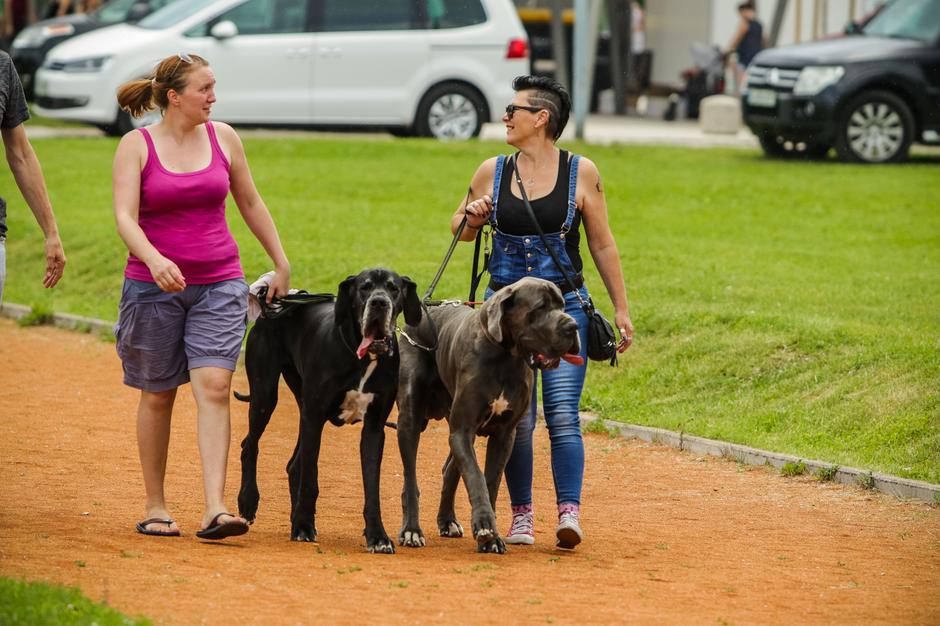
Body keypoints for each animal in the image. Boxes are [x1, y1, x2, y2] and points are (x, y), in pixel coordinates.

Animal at [237, 266, 420, 552]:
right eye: (365, 287)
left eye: (394, 288)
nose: (379, 303)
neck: (363, 356)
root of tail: (280, 300)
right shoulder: (314, 416)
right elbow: (311, 478)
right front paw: (303, 527)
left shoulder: (374, 428)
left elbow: (372, 487)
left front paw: (377, 536)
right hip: (265, 395)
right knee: (250, 445)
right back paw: (248, 502)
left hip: (300, 403)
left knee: (293, 465)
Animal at [394, 276, 580, 548]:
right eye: (540, 307)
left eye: (563, 305)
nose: (573, 326)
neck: (506, 357)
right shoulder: (463, 429)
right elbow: (475, 476)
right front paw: (484, 526)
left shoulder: (503, 435)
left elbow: (491, 480)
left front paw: (491, 539)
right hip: (410, 419)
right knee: (410, 479)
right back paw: (411, 530)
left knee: (450, 470)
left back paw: (447, 520)